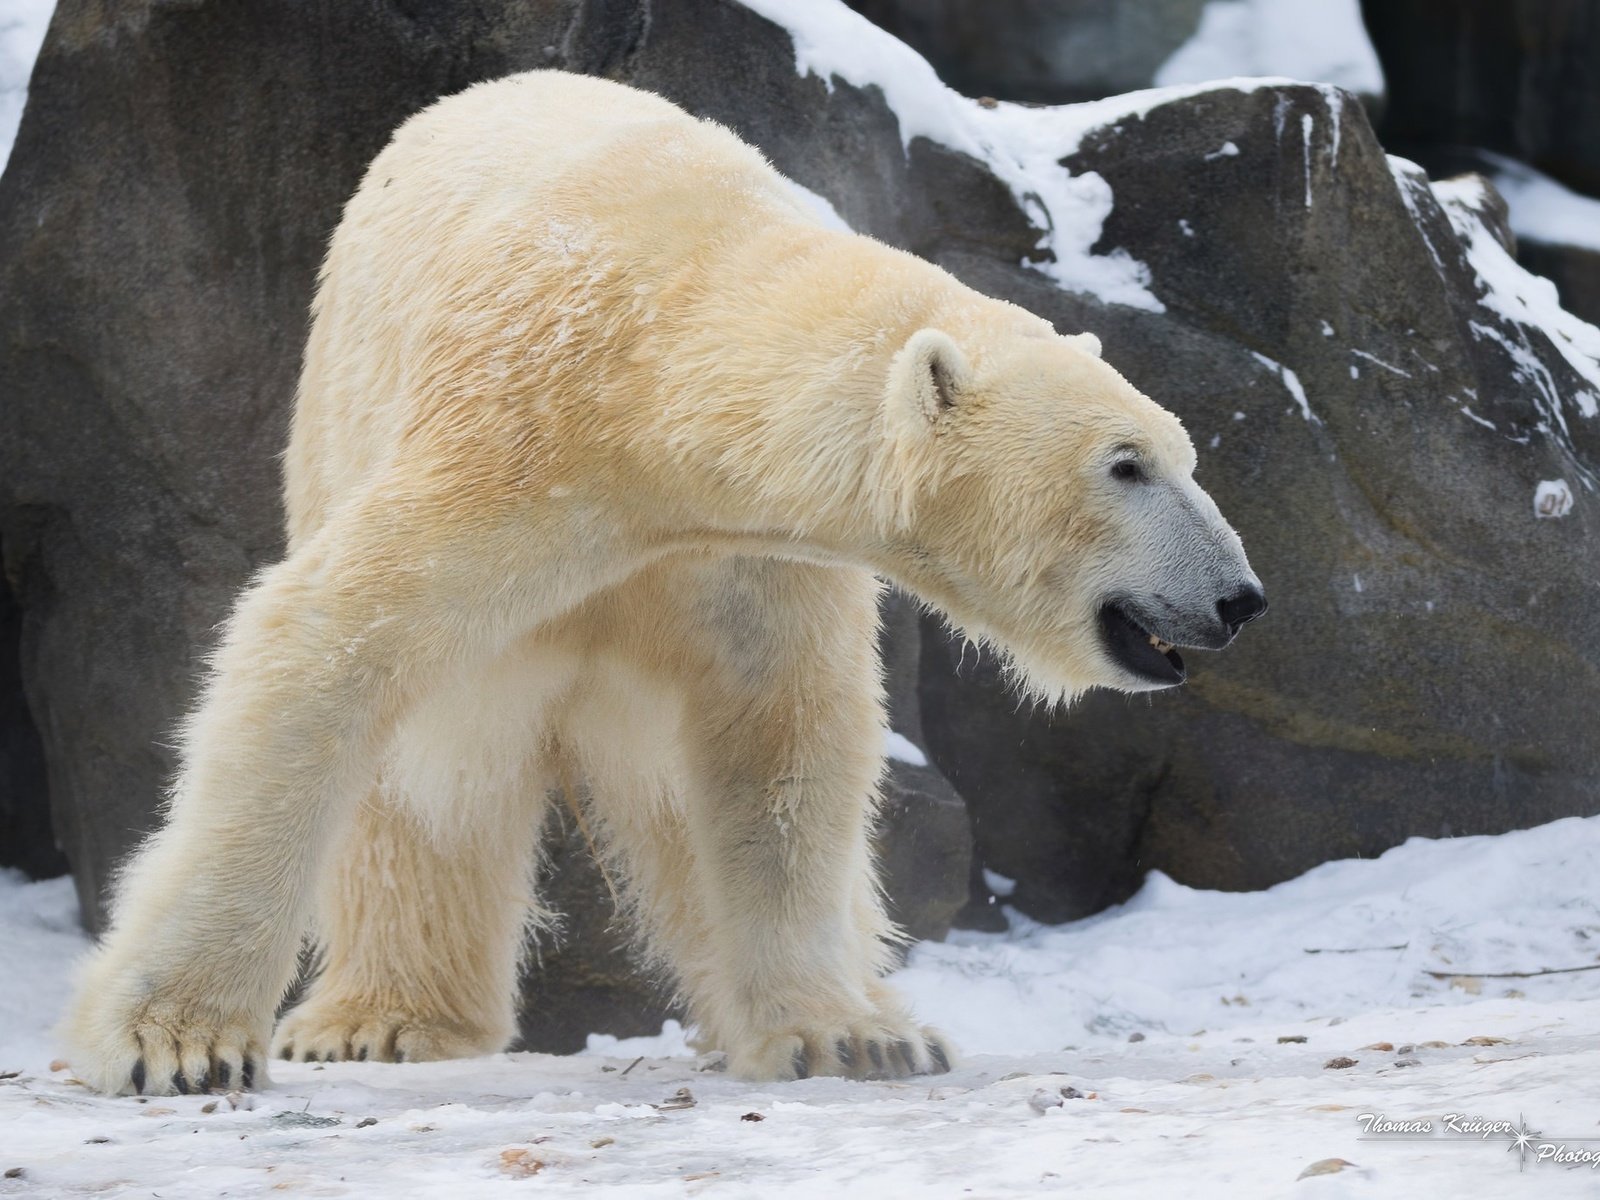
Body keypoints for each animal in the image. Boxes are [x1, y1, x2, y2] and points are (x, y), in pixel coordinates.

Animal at [59, 70, 1260, 1094]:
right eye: (1126, 465)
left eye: (1186, 454)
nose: (1239, 597)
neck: (662, 350)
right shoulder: (511, 441)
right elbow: (329, 646)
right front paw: (176, 1043)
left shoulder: (744, 552)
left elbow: (776, 745)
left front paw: (848, 1035)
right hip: (337, 415)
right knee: (439, 766)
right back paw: (388, 1019)